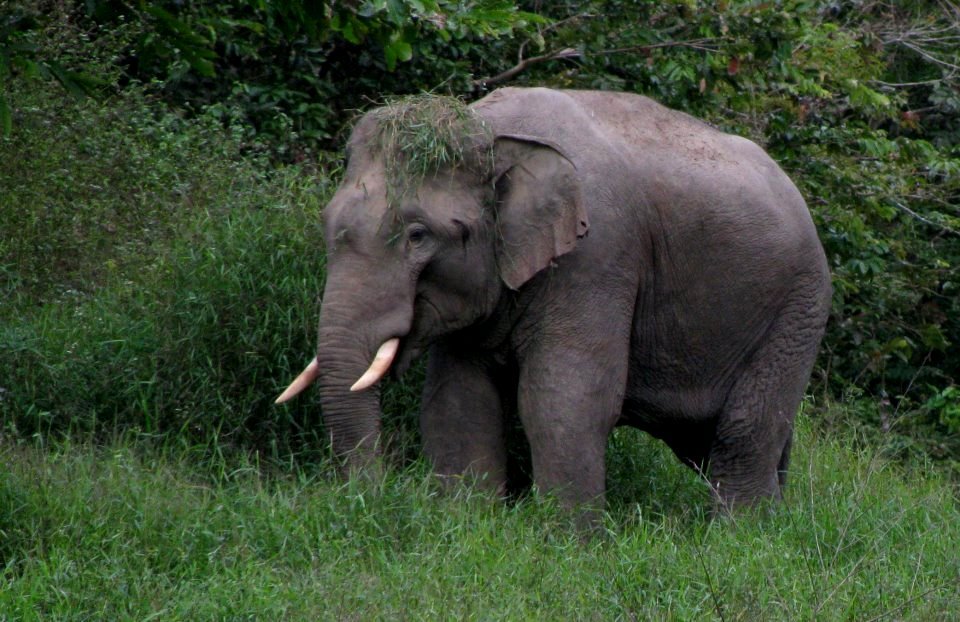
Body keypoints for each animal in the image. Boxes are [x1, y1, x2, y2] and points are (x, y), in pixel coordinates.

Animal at [278, 88, 832, 516]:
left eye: (418, 236)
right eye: (326, 222)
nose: (369, 497)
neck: (493, 132)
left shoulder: (599, 257)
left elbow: (564, 398)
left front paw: (567, 546)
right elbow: (459, 401)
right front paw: (468, 527)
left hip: (799, 308)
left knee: (743, 432)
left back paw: (745, 538)